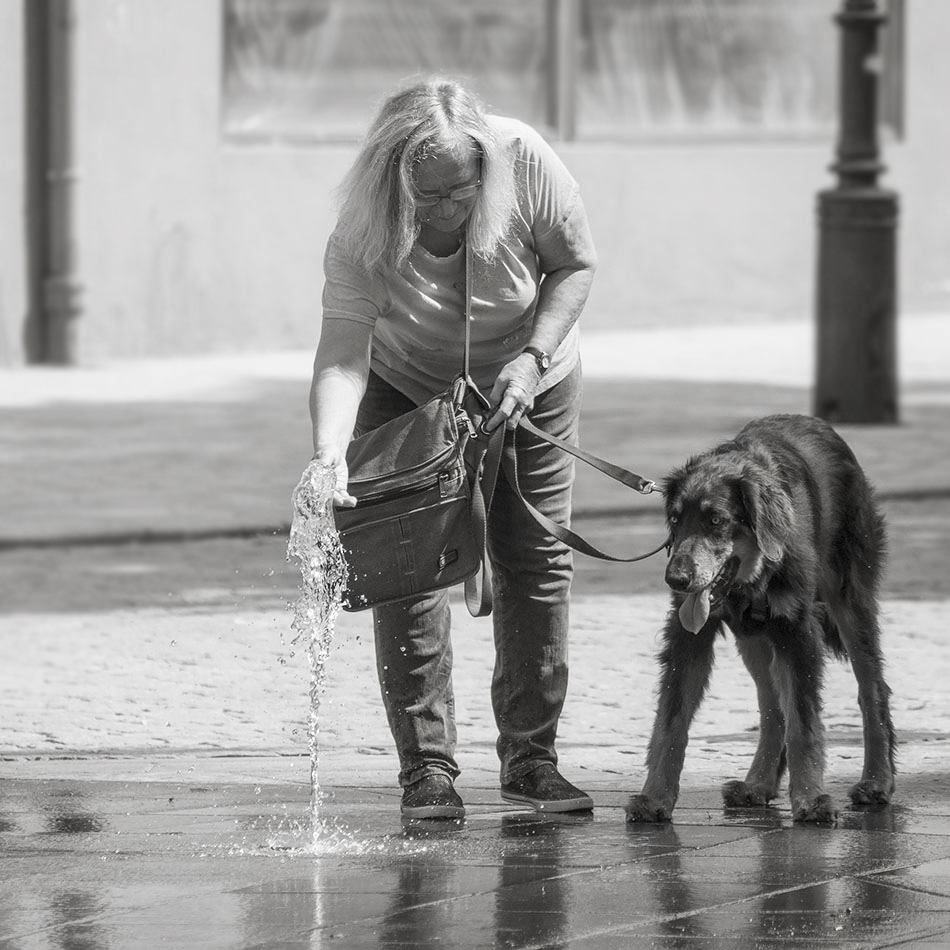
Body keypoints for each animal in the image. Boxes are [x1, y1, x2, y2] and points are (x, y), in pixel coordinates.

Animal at [628, 416, 896, 824]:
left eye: (716, 520)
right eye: (675, 519)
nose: (675, 579)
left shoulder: (797, 633)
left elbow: (804, 722)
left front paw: (811, 800)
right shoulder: (688, 638)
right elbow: (670, 722)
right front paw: (654, 797)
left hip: (850, 601)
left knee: (871, 689)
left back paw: (877, 781)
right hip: (752, 637)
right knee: (772, 707)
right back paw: (758, 784)